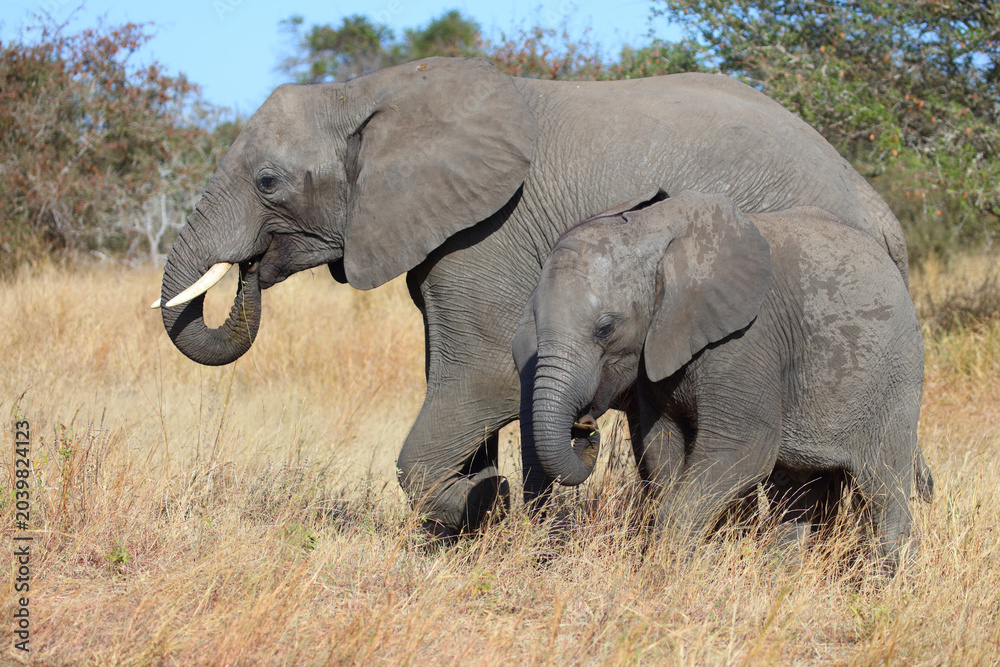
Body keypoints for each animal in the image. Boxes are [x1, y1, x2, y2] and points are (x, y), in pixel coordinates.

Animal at [153, 56, 913, 538]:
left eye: (269, 182)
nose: (249, 268)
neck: (372, 90)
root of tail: (886, 216)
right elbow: (454, 377)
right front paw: (477, 527)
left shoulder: (489, 233)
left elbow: (482, 378)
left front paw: (486, 504)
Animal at [512, 189, 926, 569]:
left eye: (605, 328)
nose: (585, 425)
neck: (652, 231)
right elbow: (662, 447)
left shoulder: (748, 338)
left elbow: (745, 450)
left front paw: (666, 573)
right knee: (794, 491)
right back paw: (781, 578)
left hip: (895, 377)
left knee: (884, 486)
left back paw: (886, 582)